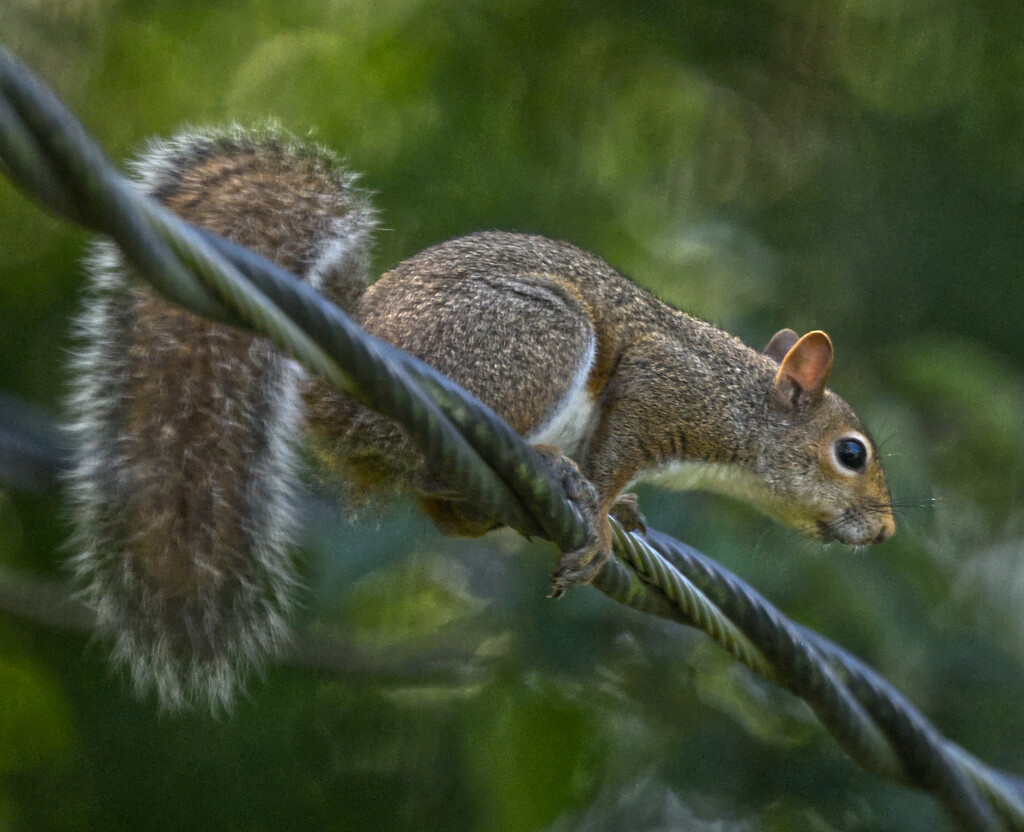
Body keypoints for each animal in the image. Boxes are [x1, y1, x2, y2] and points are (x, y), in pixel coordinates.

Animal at [66, 126, 897, 713]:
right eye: (851, 453)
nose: (887, 530)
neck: (738, 401)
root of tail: (334, 387)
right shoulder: (662, 387)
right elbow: (614, 454)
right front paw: (602, 519)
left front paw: (626, 510)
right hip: (537, 339)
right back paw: (551, 471)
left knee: (439, 503)